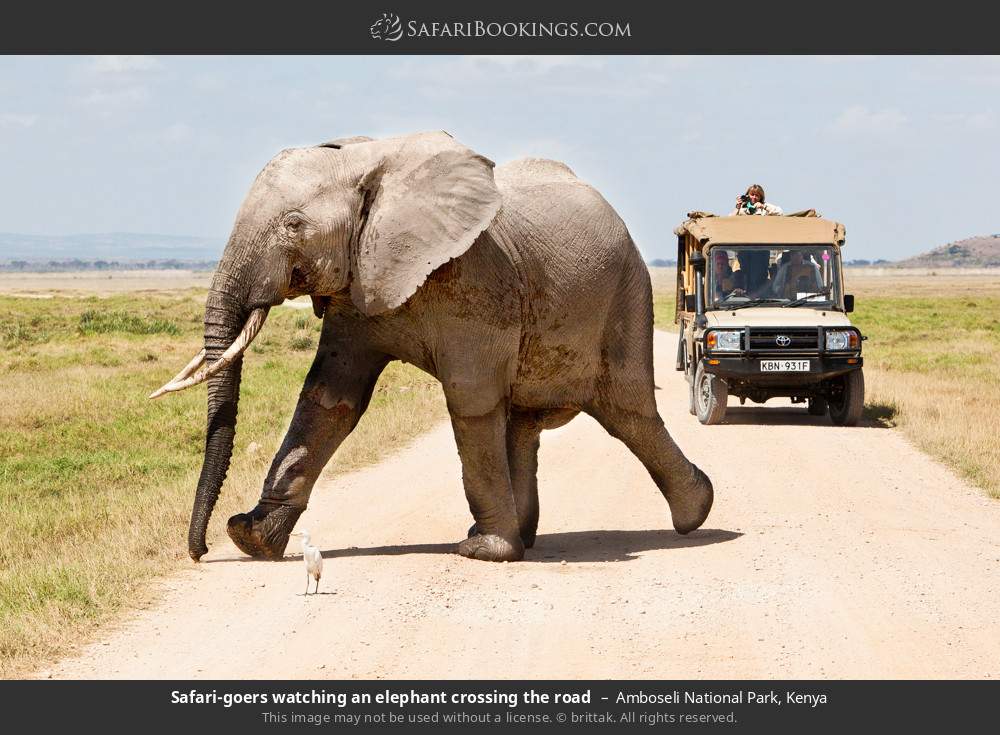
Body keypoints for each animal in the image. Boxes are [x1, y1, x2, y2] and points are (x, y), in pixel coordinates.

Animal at [150, 131, 712, 564]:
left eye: (293, 224)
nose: (199, 553)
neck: (368, 162)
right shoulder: (360, 284)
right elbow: (329, 397)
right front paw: (251, 539)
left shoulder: (475, 279)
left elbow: (469, 398)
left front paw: (485, 554)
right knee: (525, 424)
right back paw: (526, 534)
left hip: (627, 293)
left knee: (628, 412)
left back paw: (695, 513)